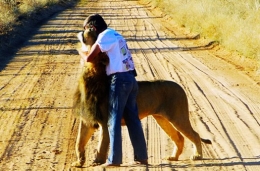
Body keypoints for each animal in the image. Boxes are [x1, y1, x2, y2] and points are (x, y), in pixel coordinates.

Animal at [71, 29, 211, 167]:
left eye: (96, 36)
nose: (89, 28)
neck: (92, 73)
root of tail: (180, 87)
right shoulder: (86, 119)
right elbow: (78, 142)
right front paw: (78, 162)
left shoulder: (105, 121)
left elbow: (102, 144)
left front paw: (98, 162)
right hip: (162, 119)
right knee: (179, 137)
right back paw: (173, 157)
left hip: (178, 117)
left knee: (195, 135)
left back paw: (197, 155)